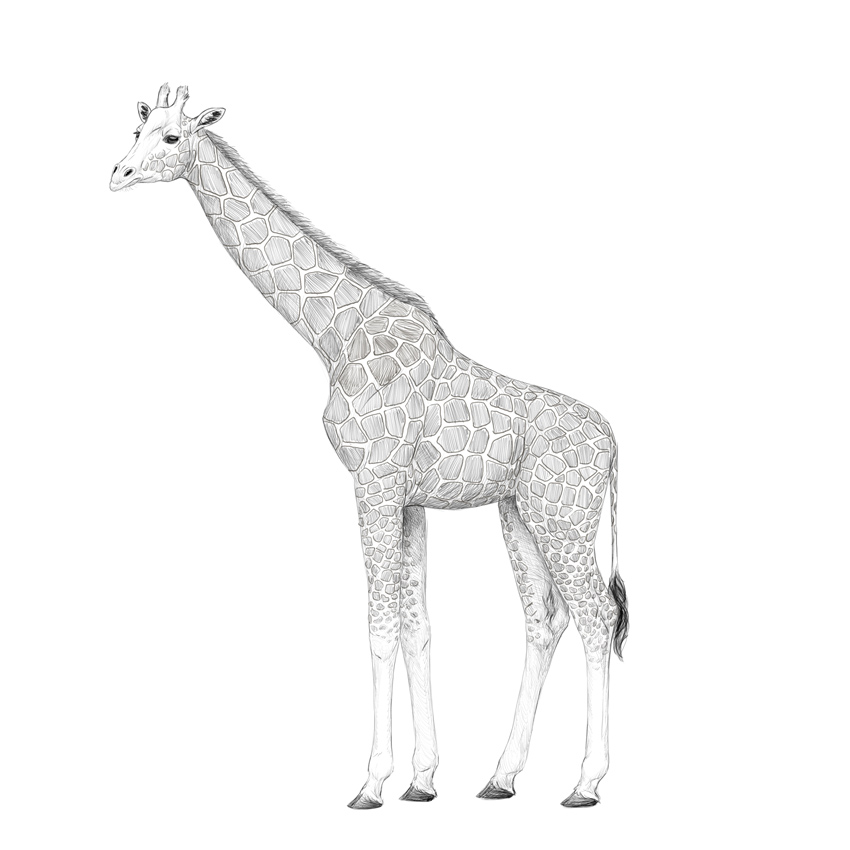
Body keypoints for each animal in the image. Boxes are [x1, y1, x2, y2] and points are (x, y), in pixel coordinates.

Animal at [110, 84, 629, 809]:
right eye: (136, 128)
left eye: (170, 138)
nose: (117, 174)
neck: (334, 335)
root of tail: (612, 441)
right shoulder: (407, 499)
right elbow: (417, 626)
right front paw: (423, 778)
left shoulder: (373, 482)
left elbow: (378, 627)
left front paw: (372, 781)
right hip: (521, 514)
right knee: (544, 620)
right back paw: (500, 777)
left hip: (566, 518)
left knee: (597, 617)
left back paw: (585, 782)